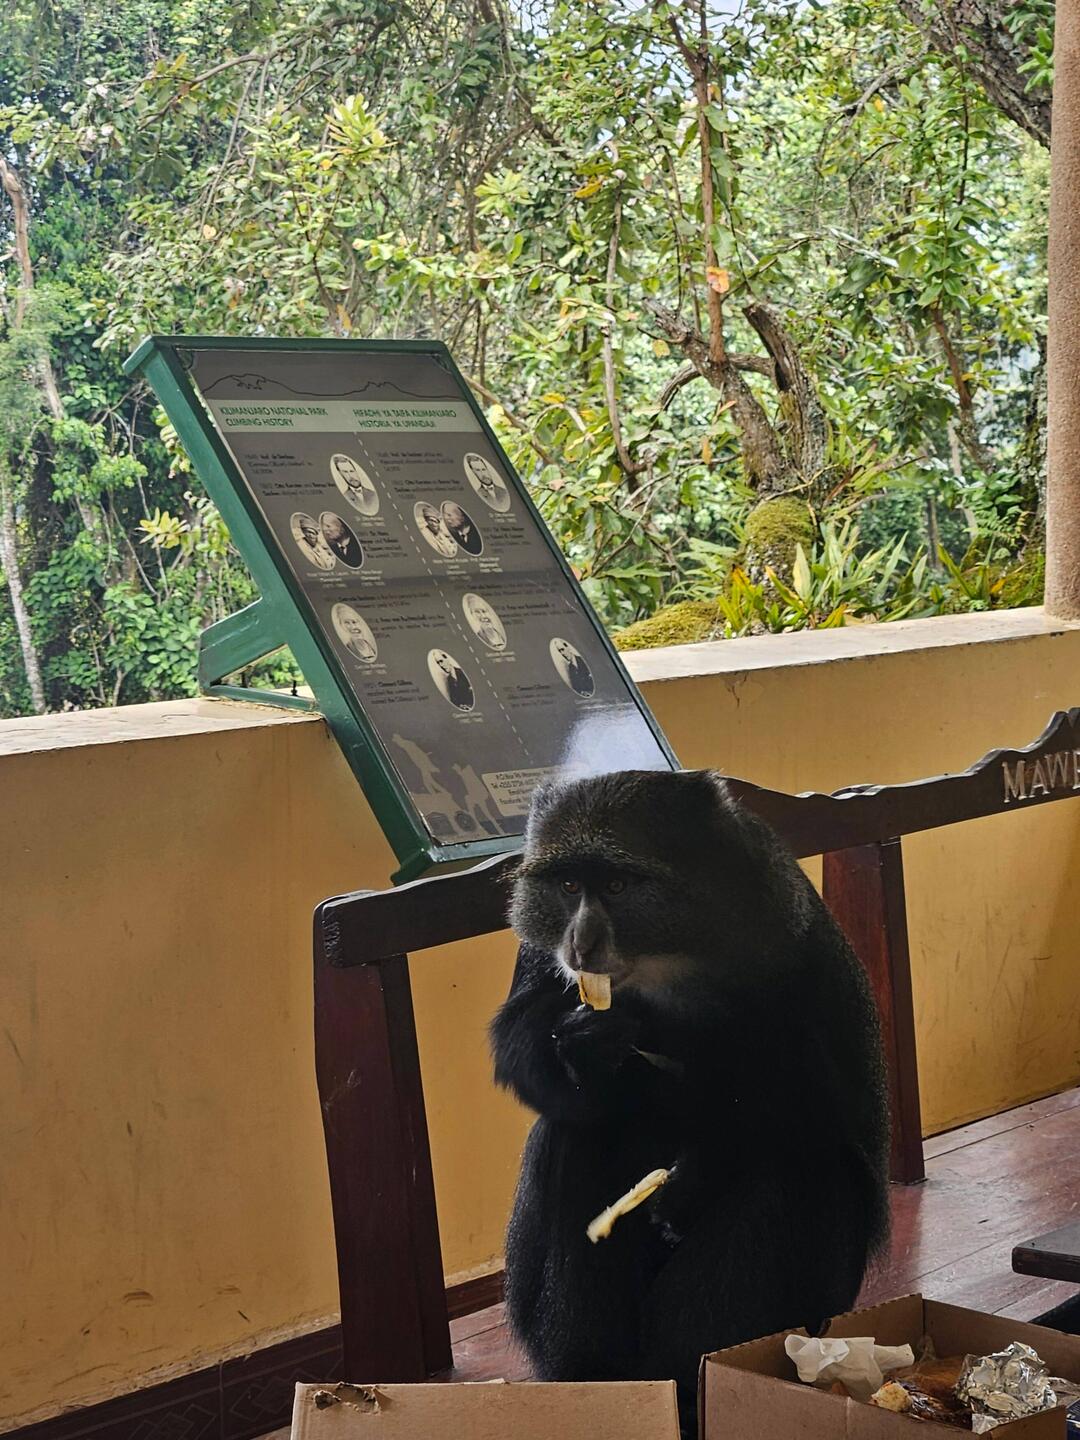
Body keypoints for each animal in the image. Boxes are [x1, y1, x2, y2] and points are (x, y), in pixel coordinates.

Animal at [490, 769, 889, 1434]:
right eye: (569, 885)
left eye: (618, 885)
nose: (580, 943)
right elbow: (523, 1042)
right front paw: (584, 1047)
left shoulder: (789, 941)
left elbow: (809, 1114)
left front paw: (696, 1176)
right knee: (572, 1132)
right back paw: (595, 1376)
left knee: (803, 1174)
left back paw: (693, 1378)